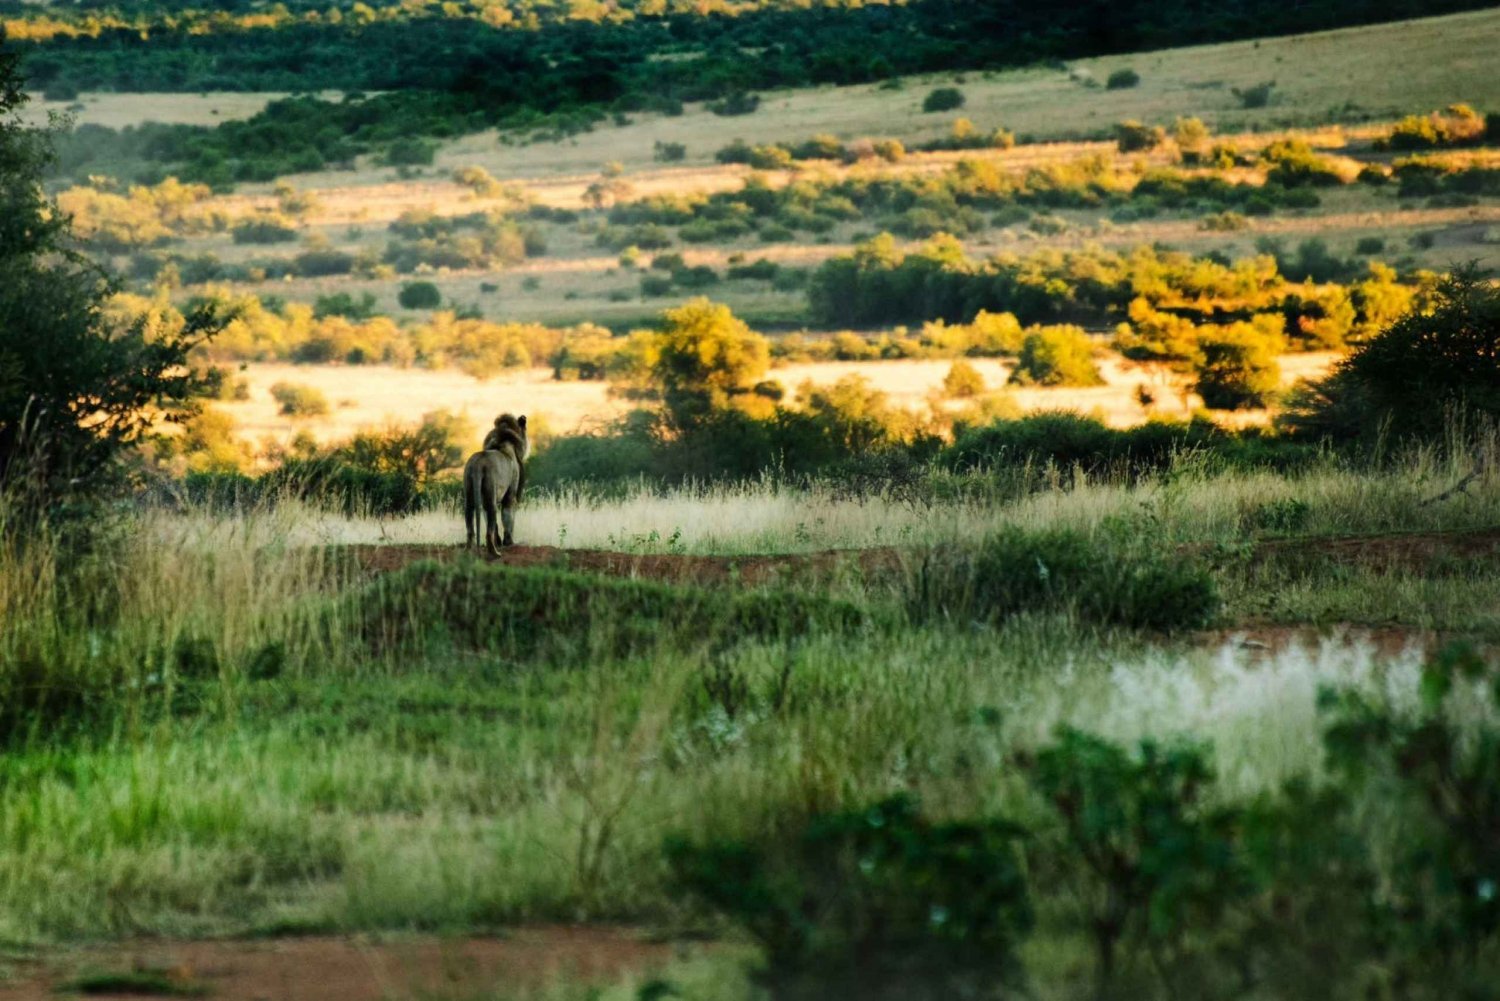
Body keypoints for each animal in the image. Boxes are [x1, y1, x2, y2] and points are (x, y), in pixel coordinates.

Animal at [465, 414, 531, 555]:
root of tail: (478, 465)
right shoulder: (510, 493)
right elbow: (508, 515)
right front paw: (508, 542)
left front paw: (500, 542)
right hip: (490, 489)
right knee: (489, 528)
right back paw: (495, 553)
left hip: (469, 486)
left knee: (470, 523)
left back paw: (468, 550)